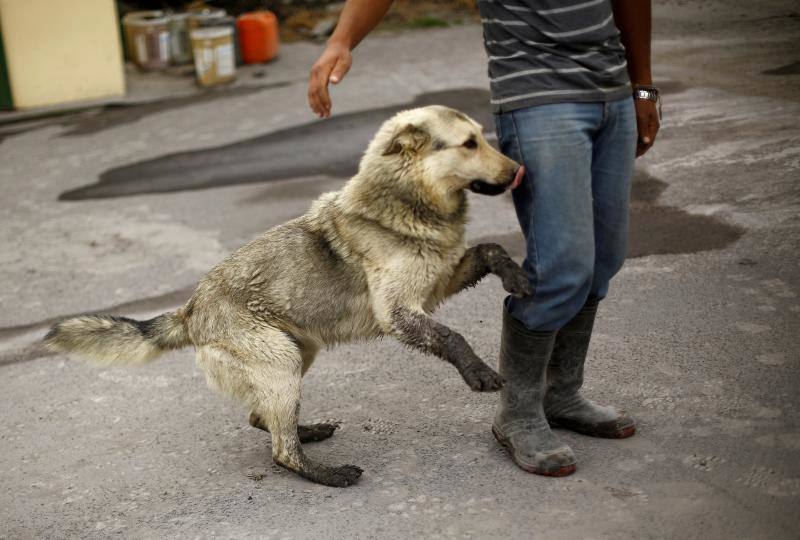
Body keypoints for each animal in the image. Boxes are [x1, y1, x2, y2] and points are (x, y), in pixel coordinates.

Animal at [43, 104, 532, 486]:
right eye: (469, 144)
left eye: (480, 138)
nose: (518, 172)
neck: (403, 203)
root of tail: (191, 309)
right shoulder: (398, 312)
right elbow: (452, 336)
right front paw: (479, 373)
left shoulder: (439, 283)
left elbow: (491, 249)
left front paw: (518, 278)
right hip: (282, 361)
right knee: (281, 451)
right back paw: (326, 473)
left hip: (297, 353)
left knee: (263, 418)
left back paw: (305, 430)